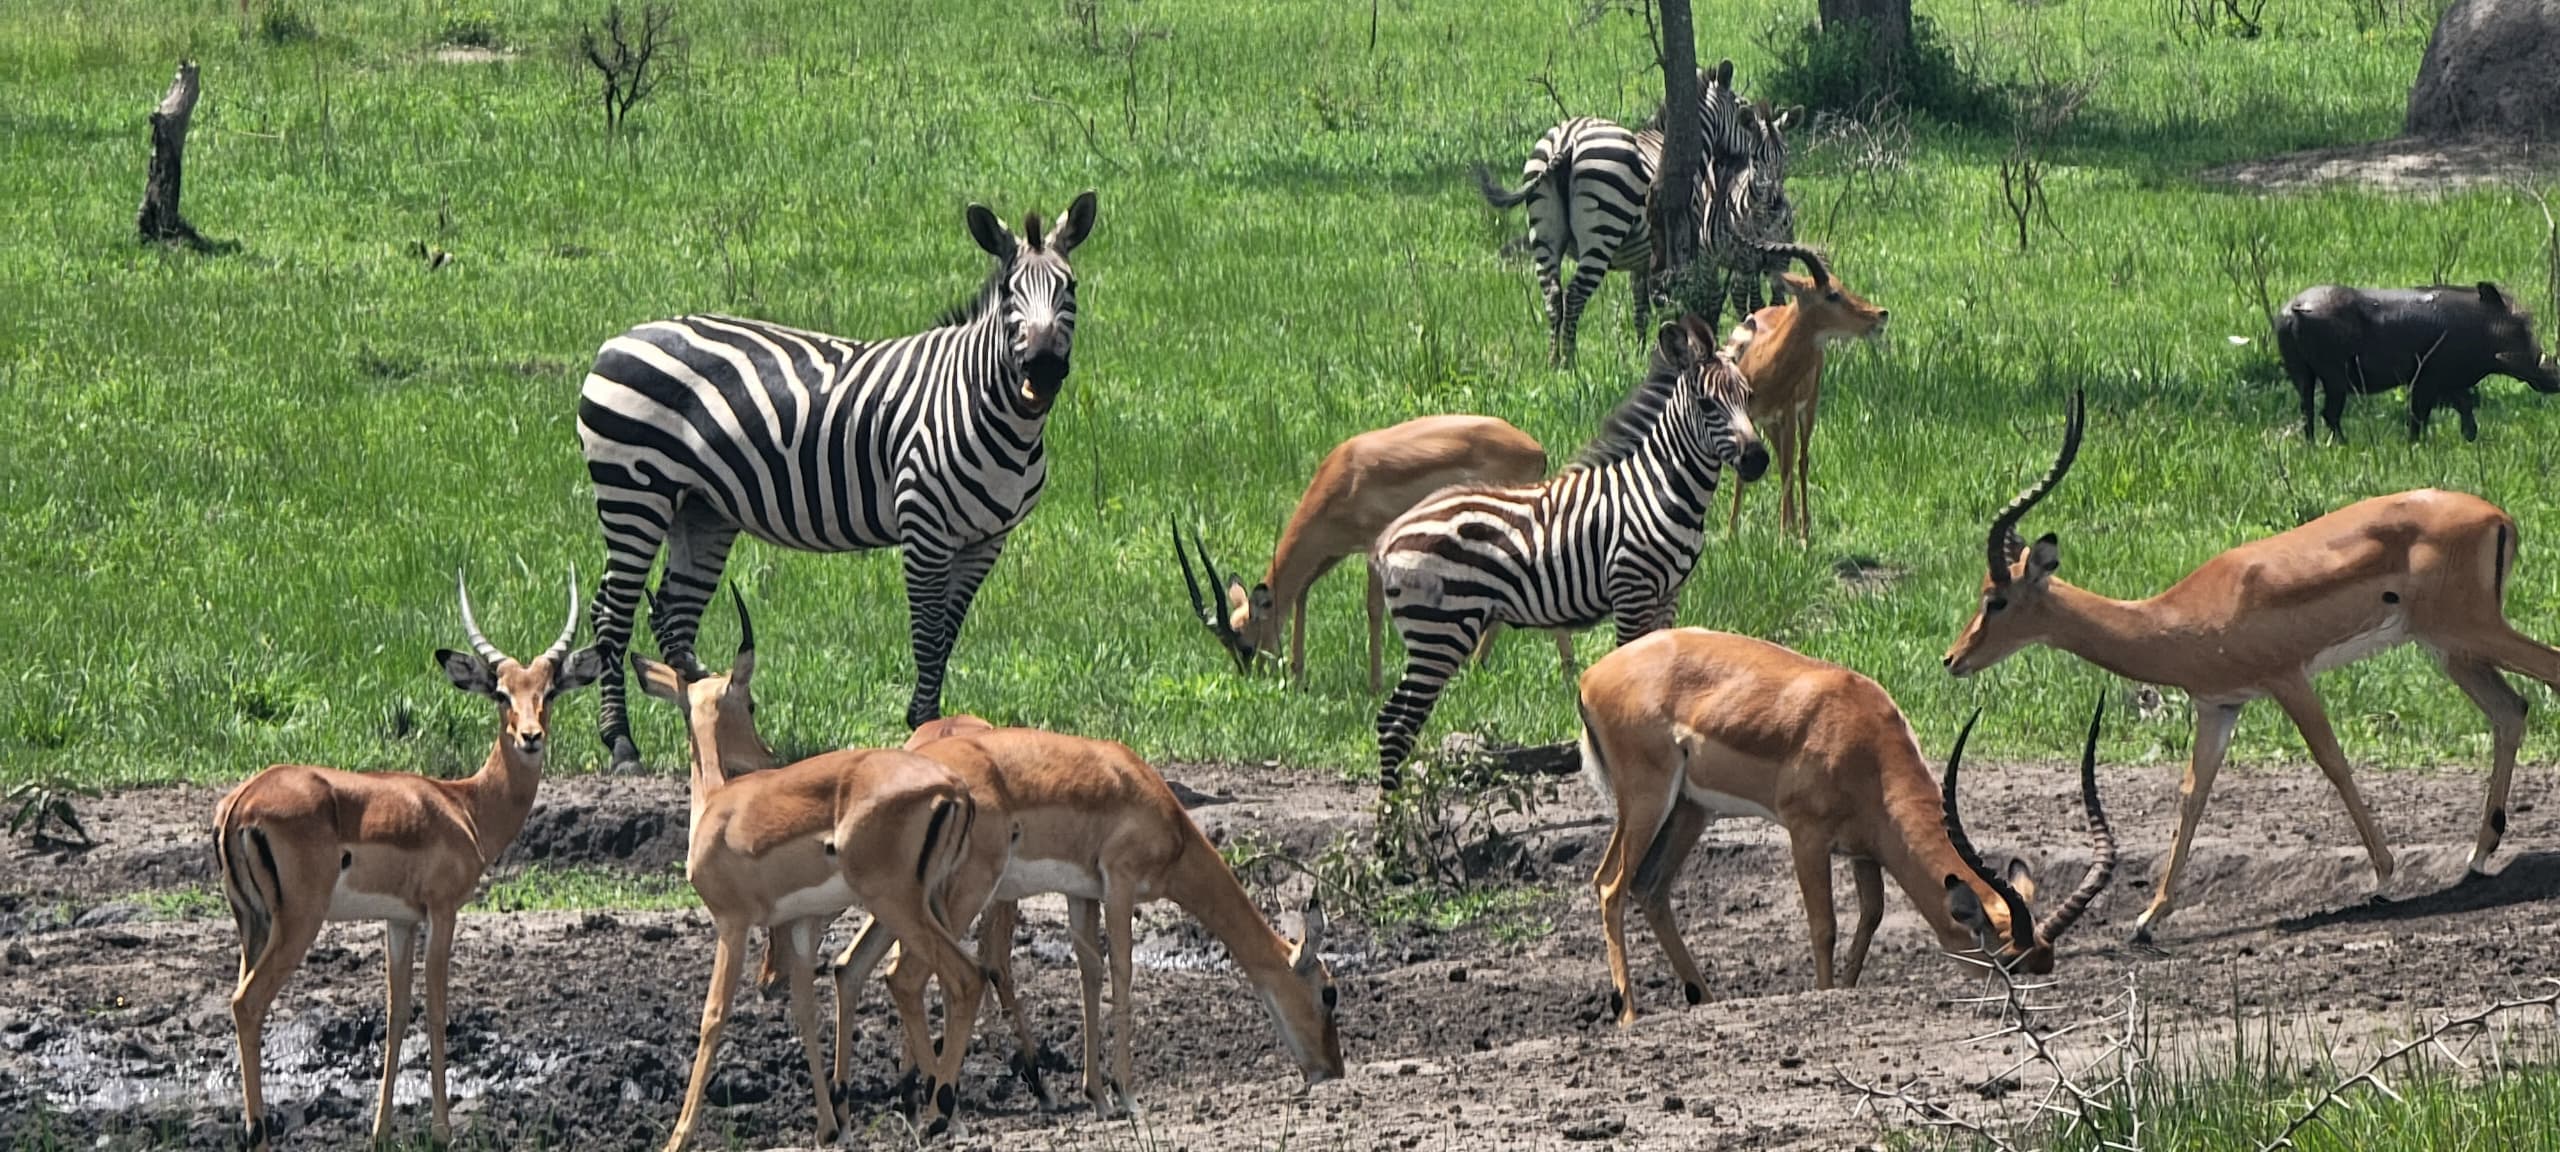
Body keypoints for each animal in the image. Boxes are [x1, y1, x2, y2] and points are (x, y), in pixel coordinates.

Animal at [575, 191, 1098, 772]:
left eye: (1071, 287)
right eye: (1009, 293)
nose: (1043, 368)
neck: (986, 406)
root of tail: (620, 338)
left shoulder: (986, 540)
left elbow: (948, 632)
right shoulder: (923, 527)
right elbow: (928, 631)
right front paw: (923, 723)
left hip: (702, 508)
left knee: (673, 612)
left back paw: (703, 705)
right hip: (633, 493)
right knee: (612, 613)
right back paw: (622, 743)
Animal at [1367, 295, 1797, 790]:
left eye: (1748, 397)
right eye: (1708, 404)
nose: (1757, 460)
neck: (1661, 487)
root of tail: (1390, 535)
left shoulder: (1669, 593)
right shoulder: (1632, 588)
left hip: (1436, 633)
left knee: (1398, 719)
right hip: (1441, 630)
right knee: (1396, 721)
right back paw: (1393, 812)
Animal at [1474, 61, 1790, 366]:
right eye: (1744, 116)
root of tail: (1567, 140)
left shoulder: (1640, 258)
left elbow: (1641, 309)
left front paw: (1640, 353)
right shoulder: (1687, 244)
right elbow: (1684, 300)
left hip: (1544, 229)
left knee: (1553, 295)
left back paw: (1553, 361)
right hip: (1603, 229)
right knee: (1575, 294)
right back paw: (1569, 361)